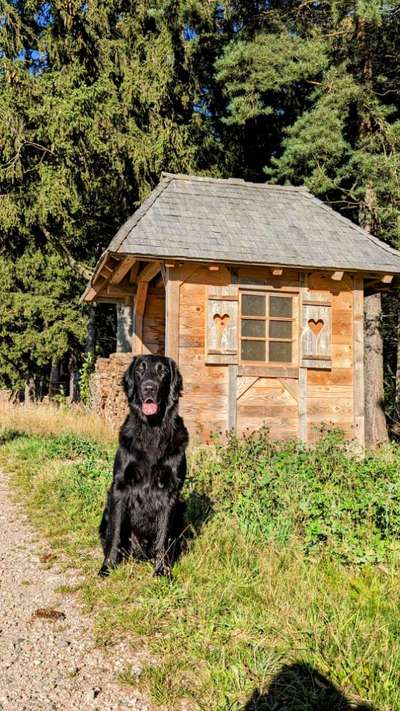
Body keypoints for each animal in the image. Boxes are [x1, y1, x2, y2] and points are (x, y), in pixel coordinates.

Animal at [99, 356, 188, 580]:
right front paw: (107, 566)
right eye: (140, 370)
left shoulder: (170, 492)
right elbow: (115, 534)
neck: (151, 431)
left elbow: (163, 537)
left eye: (163, 371)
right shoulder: (119, 488)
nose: (149, 387)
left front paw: (162, 570)